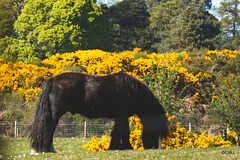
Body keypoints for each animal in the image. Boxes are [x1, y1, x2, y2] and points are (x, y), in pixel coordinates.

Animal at [29, 72, 169, 152]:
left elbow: (118, 132)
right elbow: (124, 132)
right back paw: (47, 150)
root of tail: (53, 80)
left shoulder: (120, 117)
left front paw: (115, 147)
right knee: (48, 128)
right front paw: (127, 147)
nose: (157, 148)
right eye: (157, 132)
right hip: (55, 114)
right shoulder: (122, 116)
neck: (132, 91)